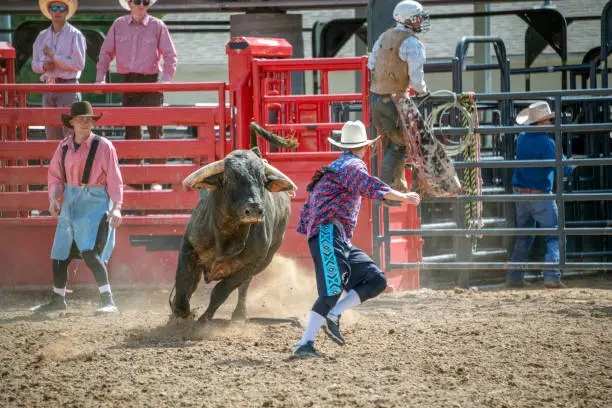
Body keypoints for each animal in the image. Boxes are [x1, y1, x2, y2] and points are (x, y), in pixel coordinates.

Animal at [171, 122, 298, 324]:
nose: (254, 209)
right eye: (230, 179)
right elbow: (184, 282)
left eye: (263, 180)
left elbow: (221, 291)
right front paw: (180, 312)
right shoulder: (189, 248)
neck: (226, 233)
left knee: (243, 288)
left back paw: (239, 315)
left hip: (264, 261)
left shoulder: (251, 263)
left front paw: (203, 320)